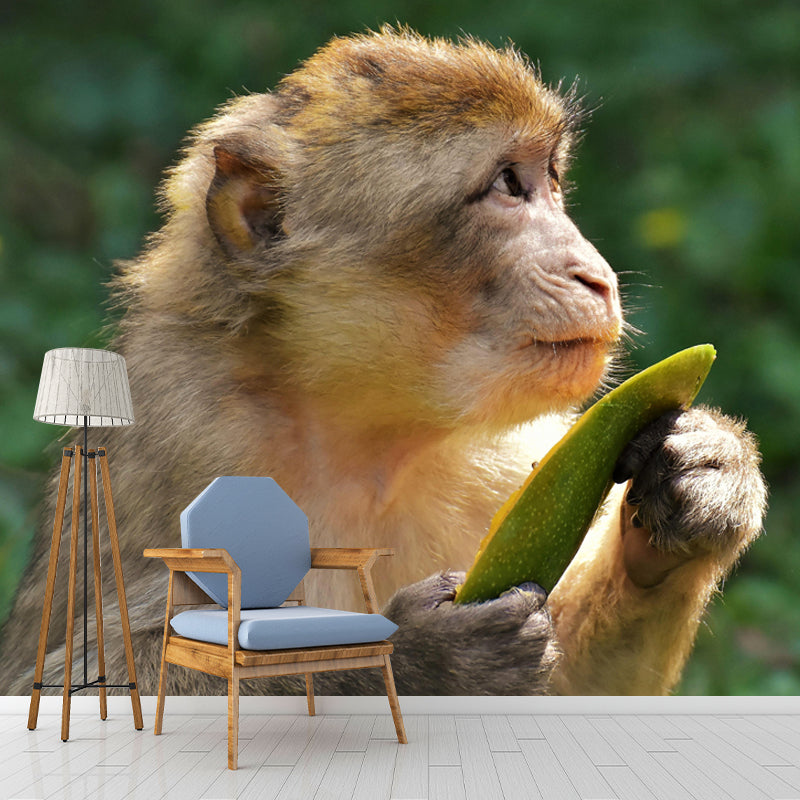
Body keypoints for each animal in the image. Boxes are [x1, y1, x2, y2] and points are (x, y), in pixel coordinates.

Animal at [0, 27, 766, 698]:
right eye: (506, 184)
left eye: (548, 177)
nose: (596, 277)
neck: (370, 438)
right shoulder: (187, 433)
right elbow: (79, 677)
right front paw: (427, 658)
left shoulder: (508, 459)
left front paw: (701, 480)